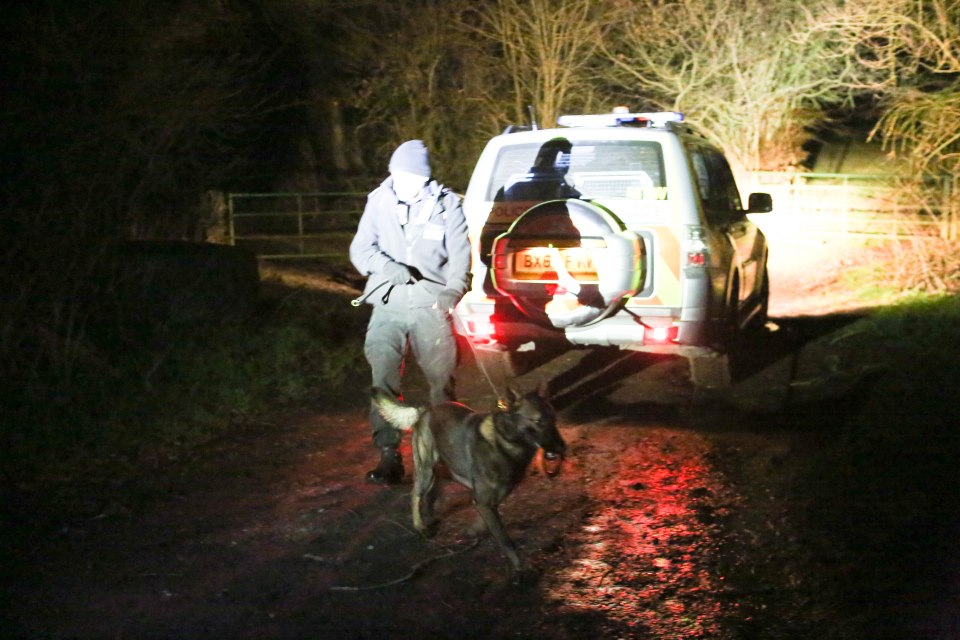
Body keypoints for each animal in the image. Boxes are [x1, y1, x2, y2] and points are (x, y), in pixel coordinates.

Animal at [368, 382, 564, 572]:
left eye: (554, 419)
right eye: (538, 421)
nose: (562, 447)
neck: (504, 440)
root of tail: (426, 409)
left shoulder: (493, 497)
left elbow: (484, 519)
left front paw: (473, 530)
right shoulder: (484, 500)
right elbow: (504, 539)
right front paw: (520, 568)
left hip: (444, 469)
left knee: (433, 492)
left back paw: (431, 515)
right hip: (426, 470)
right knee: (415, 495)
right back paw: (420, 525)